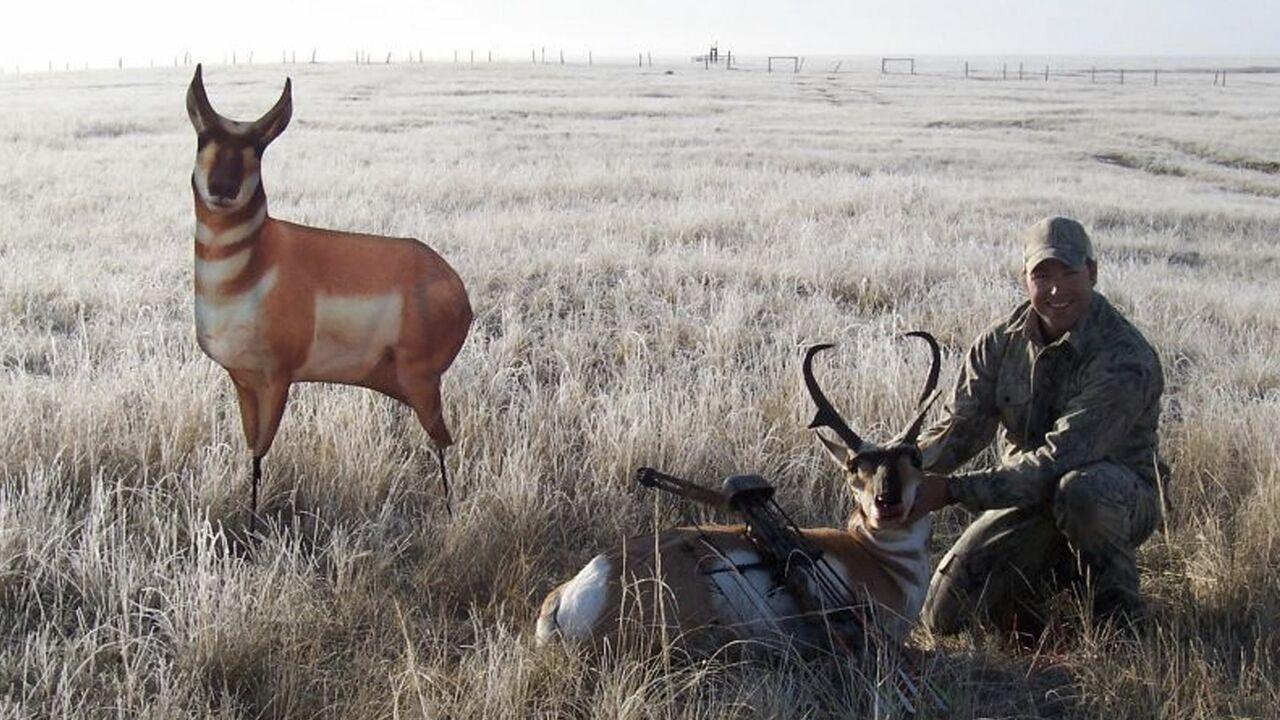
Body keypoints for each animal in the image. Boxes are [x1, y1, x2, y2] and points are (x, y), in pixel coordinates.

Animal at [186, 65, 472, 523]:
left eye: (257, 149)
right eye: (203, 138)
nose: (222, 189)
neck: (257, 263)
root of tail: (453, 281)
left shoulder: (276, 380)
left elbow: (261, 454)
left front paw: (252, 527)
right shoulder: (243, 381)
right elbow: (252, 454)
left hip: (420, 382)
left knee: (443, 442)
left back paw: (449, 514)